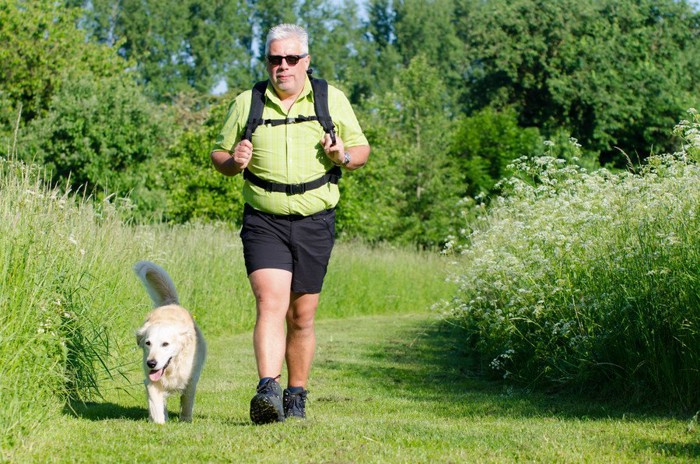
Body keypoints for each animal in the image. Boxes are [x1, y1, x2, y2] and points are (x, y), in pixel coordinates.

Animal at [133, 260, 206, 424]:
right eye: (148, 343)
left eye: (165, 344)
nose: (151, 363)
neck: (172, 367)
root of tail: (171, 303)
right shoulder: (151, 382)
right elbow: (156, 404)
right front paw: (159, 422)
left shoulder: (191, 380)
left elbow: (187, 402)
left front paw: (186, 420)